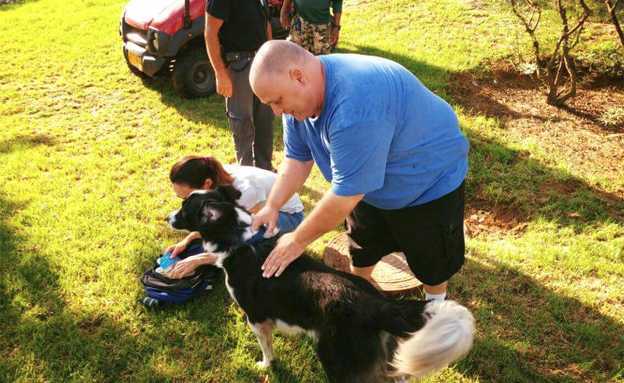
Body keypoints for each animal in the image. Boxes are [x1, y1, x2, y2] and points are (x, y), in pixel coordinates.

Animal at [166, 185, 472, 380]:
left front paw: (265, 365)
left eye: (184, 208)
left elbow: (267, 350)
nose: (167, 216)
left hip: (339, 361)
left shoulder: (256, 317)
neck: (241, 240)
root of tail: (378, 304)